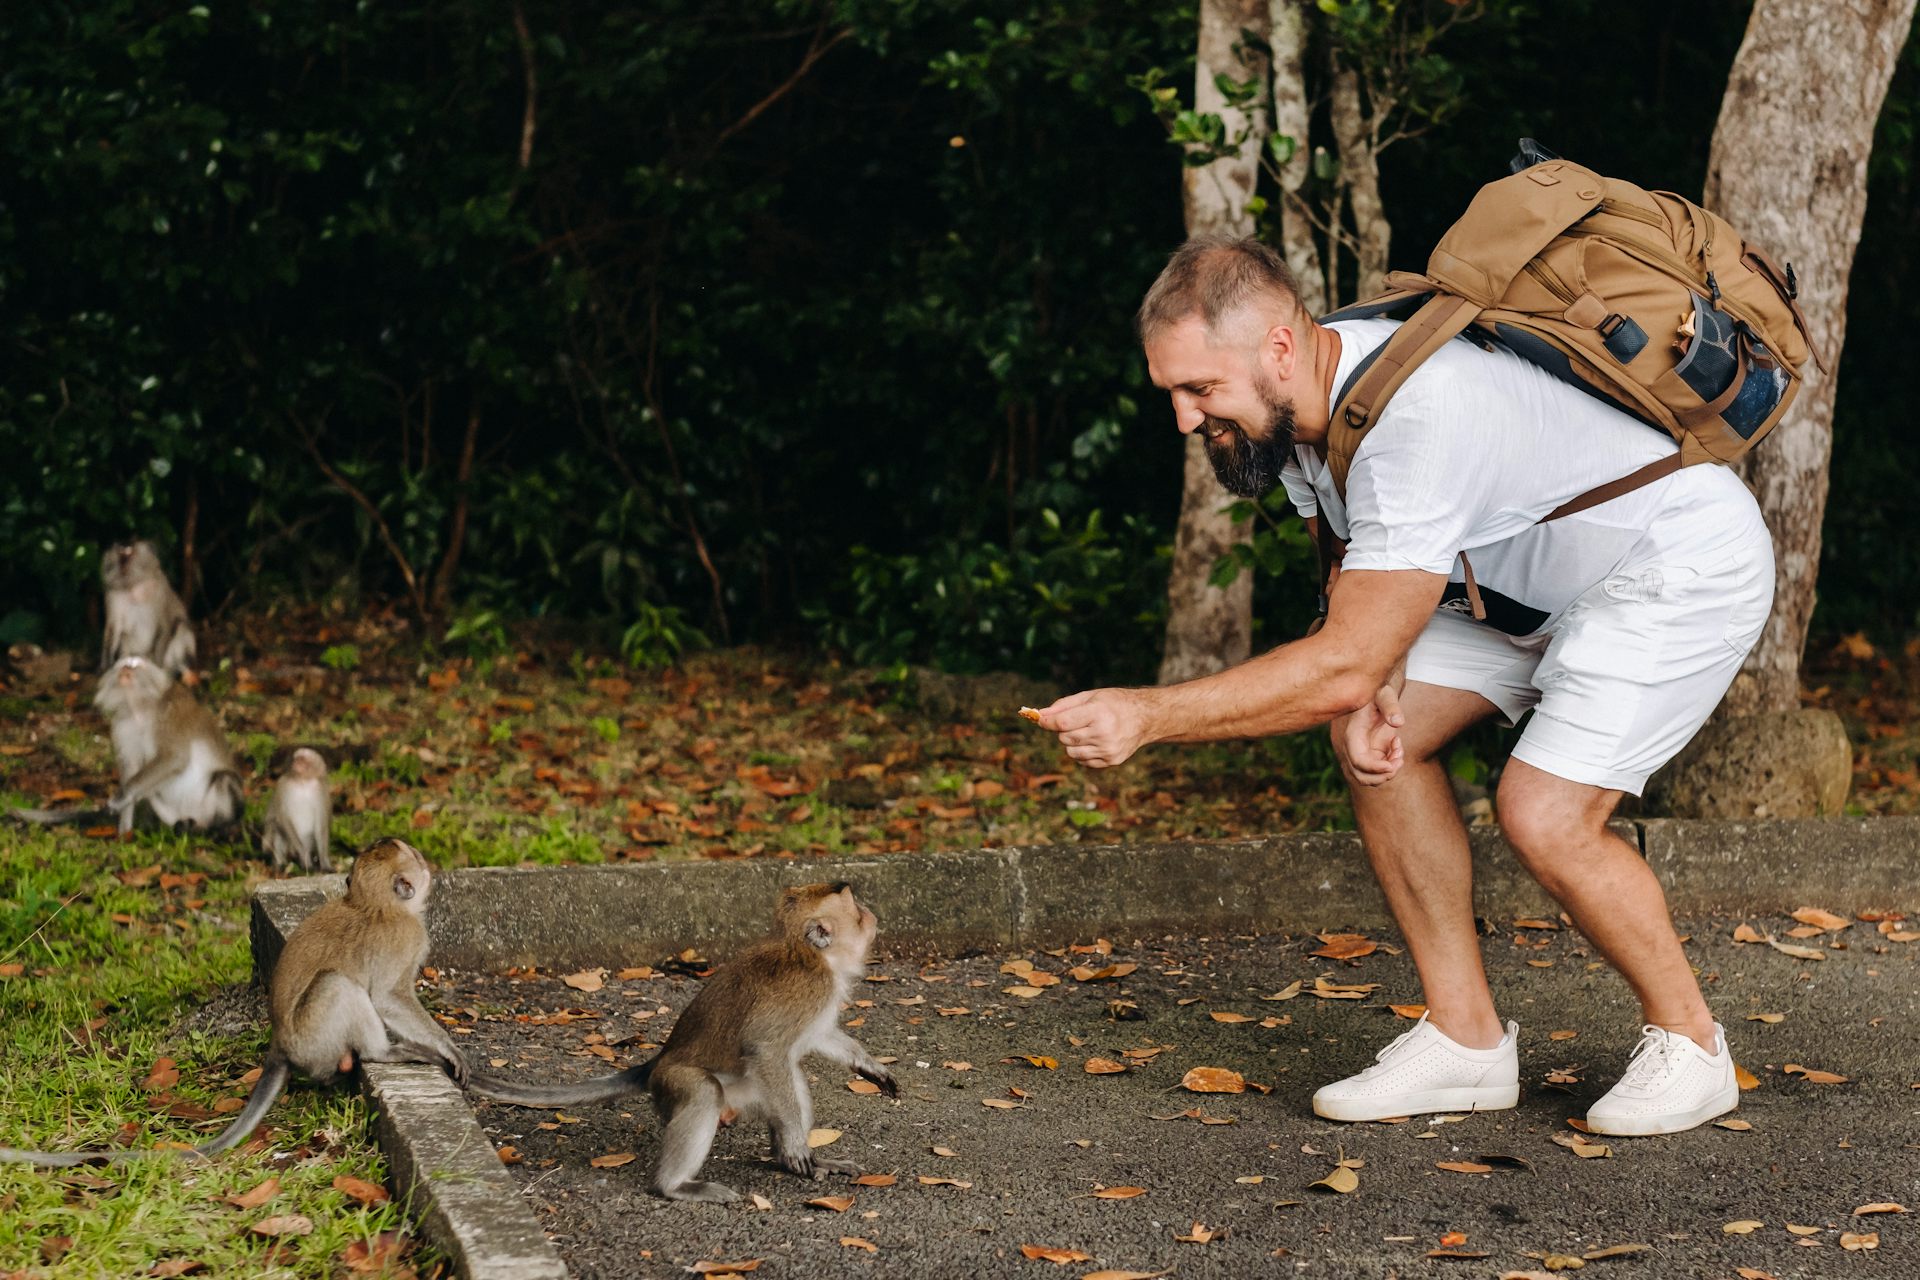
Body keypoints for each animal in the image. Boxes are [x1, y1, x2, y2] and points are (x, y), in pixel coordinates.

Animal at [5, 840, 470, 1174]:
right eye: (416, 858)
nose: (429, 866)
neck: (374, 903)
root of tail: (280, 1044)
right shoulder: (406, 937)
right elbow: (388, 997)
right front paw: (448, 1048)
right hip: (313, 1037)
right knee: (337, 985)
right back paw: (383, 1053)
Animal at [100, 541, 195, 679]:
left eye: (129, 554)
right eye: (120, 555)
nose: (121, 565)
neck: (133, 587)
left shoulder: (160, 590)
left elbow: (165, 624)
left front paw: (157, 664)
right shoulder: (112, 595)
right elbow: (114, 628)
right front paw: (105, 666)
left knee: (181, 625)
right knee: (124, 635)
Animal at [263, 744, 334, 875]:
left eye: (302, 759)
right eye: (296, 758)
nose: (296, 762)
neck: (303, 782)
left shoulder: (321, 790)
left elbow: (320, 826)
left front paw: (325, 863)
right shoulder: (283, 785)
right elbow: (283, 818)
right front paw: (304, 856)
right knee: (276, 829)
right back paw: (281, 864)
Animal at [468, 882, 894, 1205]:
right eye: (855, 908)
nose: (871, 912)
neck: (814, 957)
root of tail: (657, 1062)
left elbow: (818, 1036)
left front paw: (868, 1065)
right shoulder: (808, 989)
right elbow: (764, 1048)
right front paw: (794, 1145)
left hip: (750, 1091)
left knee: (792, 1080)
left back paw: (790, 1160)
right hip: (675, 1083)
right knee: (707, 1091)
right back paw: (675, 1186)